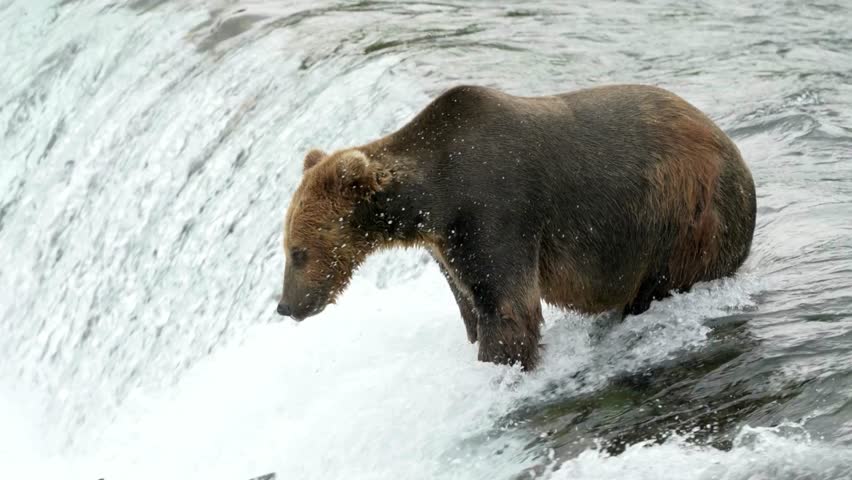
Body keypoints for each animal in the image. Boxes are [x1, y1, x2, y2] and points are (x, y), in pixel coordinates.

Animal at [276, 84, 756, 371]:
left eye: (298, 252)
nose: (286, 306)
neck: (432, 196)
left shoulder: (496, 208)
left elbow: (508, 305)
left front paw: (500, 362)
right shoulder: (448, 241)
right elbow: (469, 301)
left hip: (681, 216)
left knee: (662, 281)